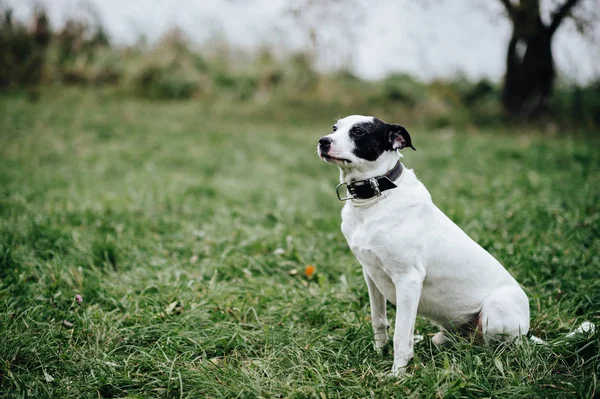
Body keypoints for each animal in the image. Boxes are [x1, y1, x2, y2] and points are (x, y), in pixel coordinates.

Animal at [316, 116, 528, 378]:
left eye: (358, 132)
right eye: (335, 128)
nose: (323, 141)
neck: (374, 200)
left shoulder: (408, 280)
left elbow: (399, 334)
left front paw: (397, 375)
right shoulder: (370, 274)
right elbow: (379, 321)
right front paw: (379, 353)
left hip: (497, 309)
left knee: (492, 347)